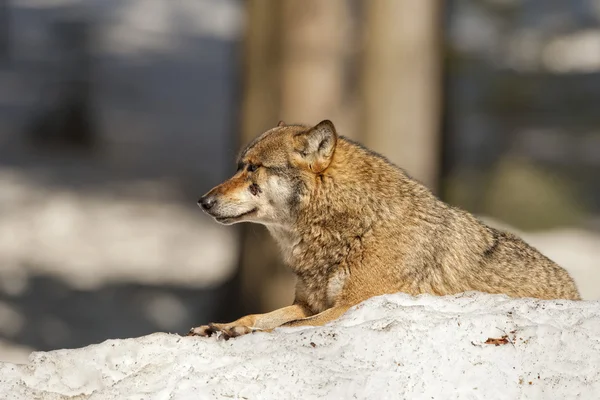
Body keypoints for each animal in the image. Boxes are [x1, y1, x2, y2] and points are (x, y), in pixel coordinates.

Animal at [189, 120, 580, 340]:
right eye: (240, 166)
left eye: (253, 169)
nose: (203, 201)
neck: (357, 226)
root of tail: (575, 291)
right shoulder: (306, 303)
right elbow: (258, 316)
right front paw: (219, 326)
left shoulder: (350, 306)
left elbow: (279, 328)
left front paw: (238, 333)